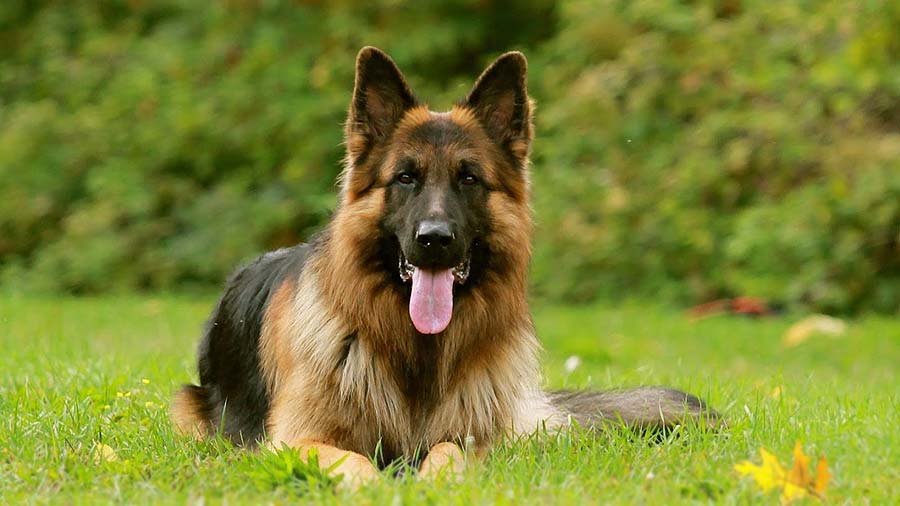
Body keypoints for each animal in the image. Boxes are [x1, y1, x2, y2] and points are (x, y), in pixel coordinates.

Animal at [171, 47, 716, 486]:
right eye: (405, 178)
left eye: (469, 179)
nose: (434, 241)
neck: (417, 352)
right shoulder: (295, 439)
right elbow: (352, 461)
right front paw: (378, 488)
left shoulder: (472, 438)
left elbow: (449, 453)